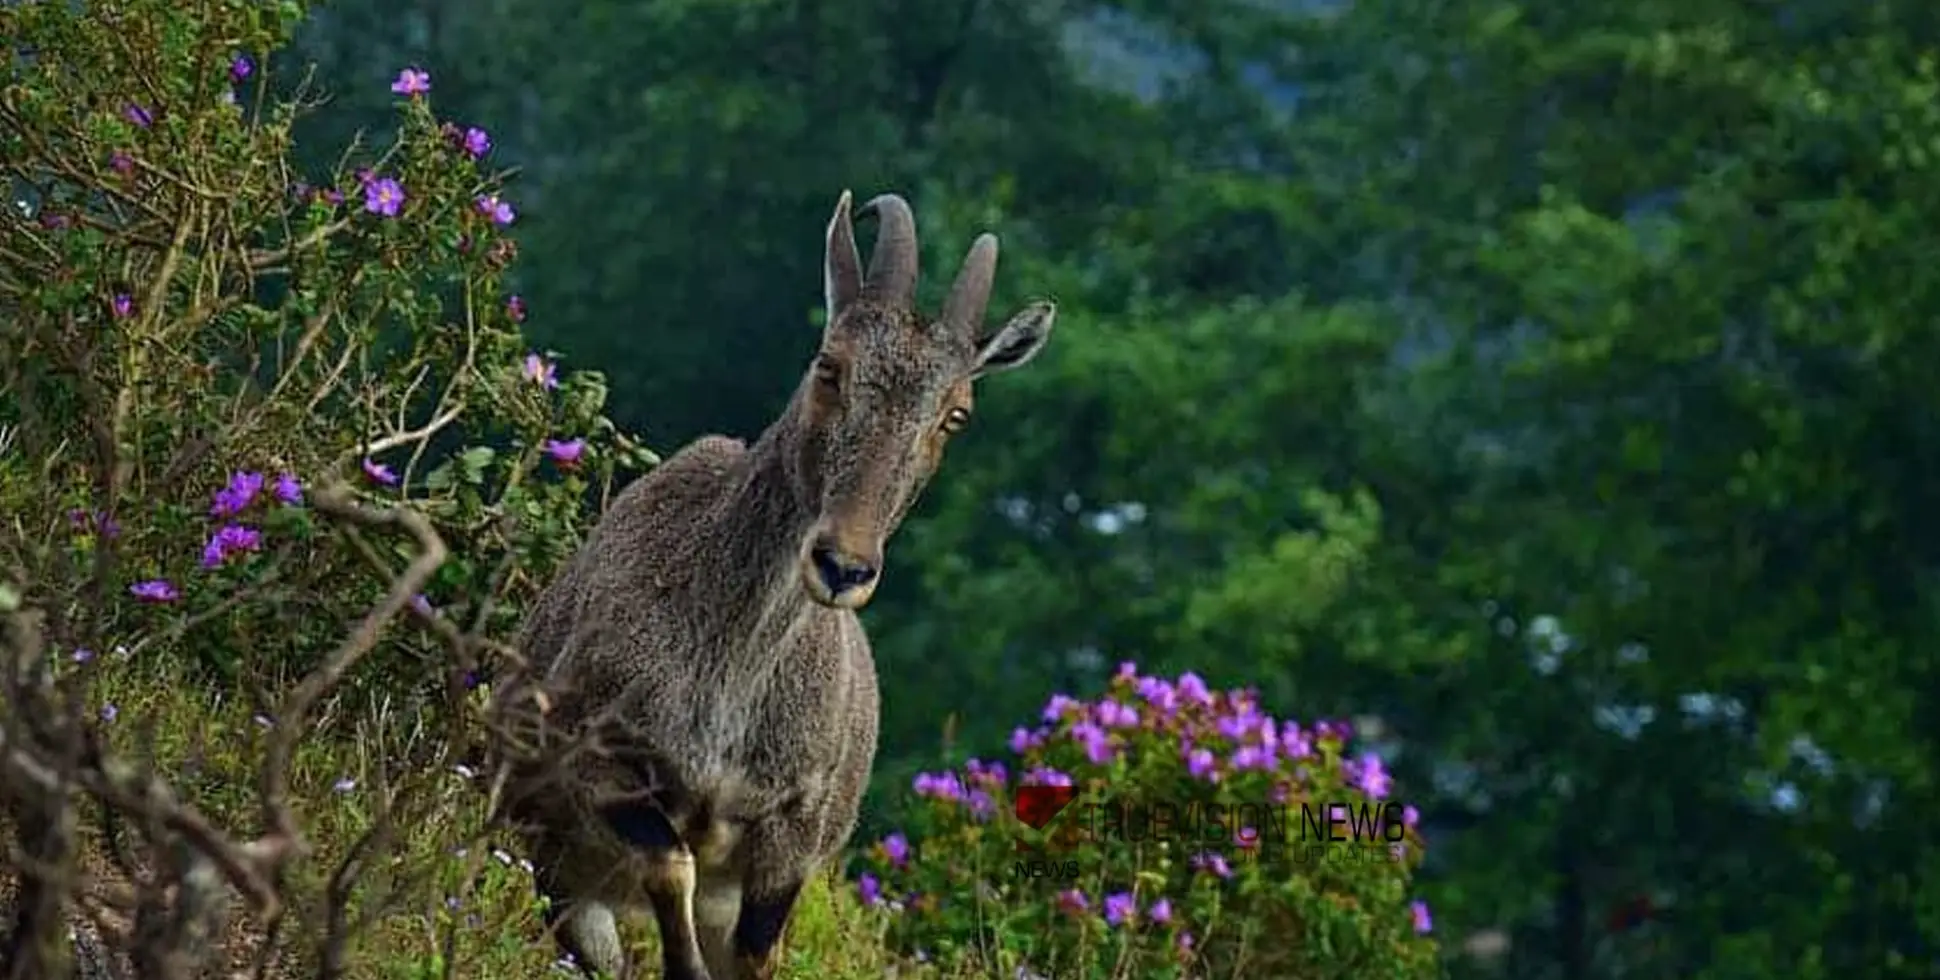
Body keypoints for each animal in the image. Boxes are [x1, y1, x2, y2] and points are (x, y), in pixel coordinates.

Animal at [492, 193, 1055, 978]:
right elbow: (671, 868)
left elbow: (756, 949)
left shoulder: (791, 828)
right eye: (829, 365)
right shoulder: (597, 758)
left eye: (955, 413)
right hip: (556, 866)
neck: (731, 671)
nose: (843, 566)